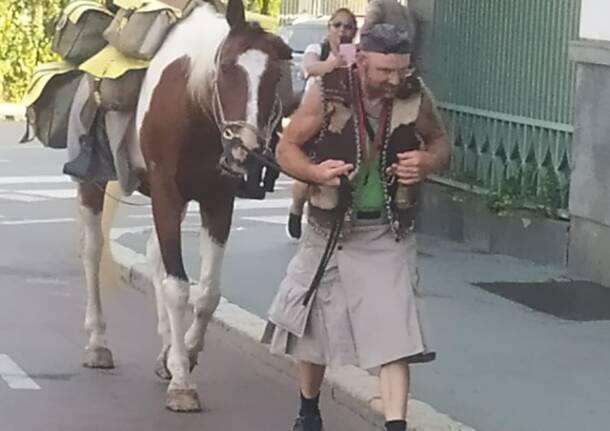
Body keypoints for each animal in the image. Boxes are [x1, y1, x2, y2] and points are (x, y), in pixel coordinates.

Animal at [75, 0, 290, 412]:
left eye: (277, 75)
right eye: (227, 68)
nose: (244, 151)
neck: (194, 102)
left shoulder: (219, 200)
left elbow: (207, 293)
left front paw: (183, 355)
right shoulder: (167, 192)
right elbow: (178, 288)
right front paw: (183, 384)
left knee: (155, 255)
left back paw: (165, 351)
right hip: (94, 181)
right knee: (93, 252)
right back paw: (96, 343)